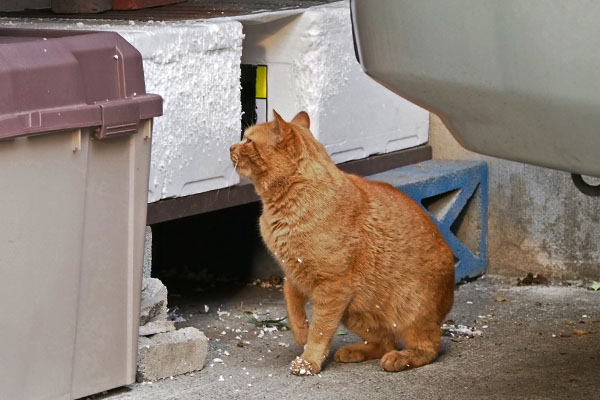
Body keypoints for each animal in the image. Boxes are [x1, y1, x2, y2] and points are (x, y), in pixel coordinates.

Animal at [230, 110, 454, 376]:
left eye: (248, 141)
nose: (231, 147)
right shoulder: (292, 275)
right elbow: (294, 312)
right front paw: (301, 335)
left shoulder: (332, 288)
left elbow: (320, 331)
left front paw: (308, 362)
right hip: (353, 311)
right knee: (385, 341)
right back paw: (354, 351)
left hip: (406, 311)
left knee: (428, 347)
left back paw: (400, 358)